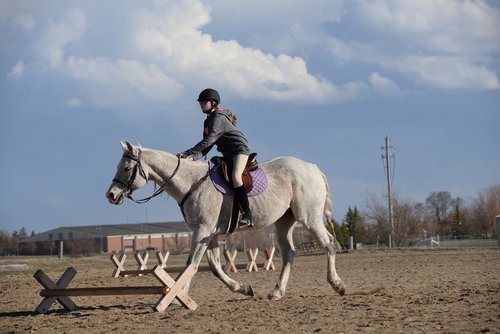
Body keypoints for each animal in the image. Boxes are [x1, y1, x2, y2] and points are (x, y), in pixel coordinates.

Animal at [107, 141, 346, 300]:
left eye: (126, 168)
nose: (110, 195)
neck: (191, 183)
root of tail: (312, 167)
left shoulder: (202, 231)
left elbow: (191, 264)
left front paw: (176, 295)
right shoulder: (209, 234)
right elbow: (213, 267)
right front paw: (243, 288)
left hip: (309, 218)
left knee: (329, 244)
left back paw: (338, 285)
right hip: (283, 223)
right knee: (289, 253)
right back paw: (277, 292)